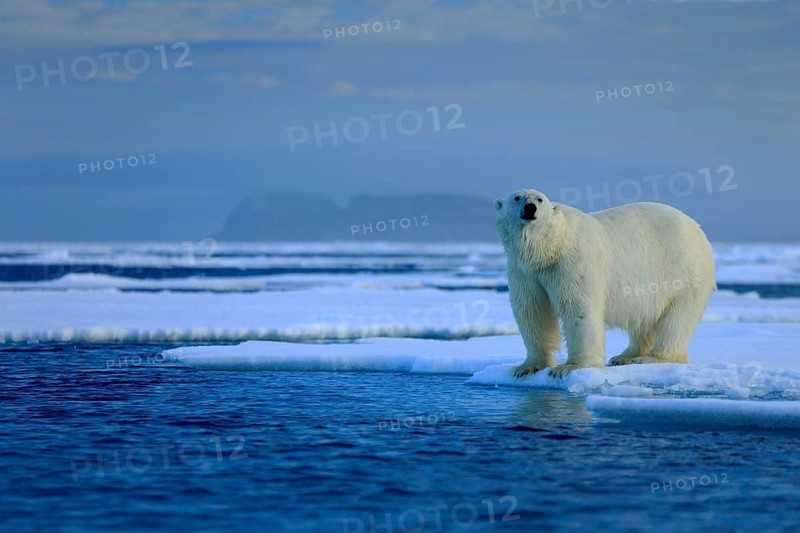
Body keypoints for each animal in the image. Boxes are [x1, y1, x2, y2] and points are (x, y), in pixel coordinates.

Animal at [494, 189, 716, 380]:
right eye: (517, 197)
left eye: (540, 199)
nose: (530, 208)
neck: (551, 249)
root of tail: (697, 229)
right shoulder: (524, 272)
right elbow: (532, 309)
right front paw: (528, 367)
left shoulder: (573, 261)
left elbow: (578, 308)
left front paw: (569, 368)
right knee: (645, 319)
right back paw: (625, 356)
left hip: (683, 272)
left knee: (677, 319)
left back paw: (652, 358)